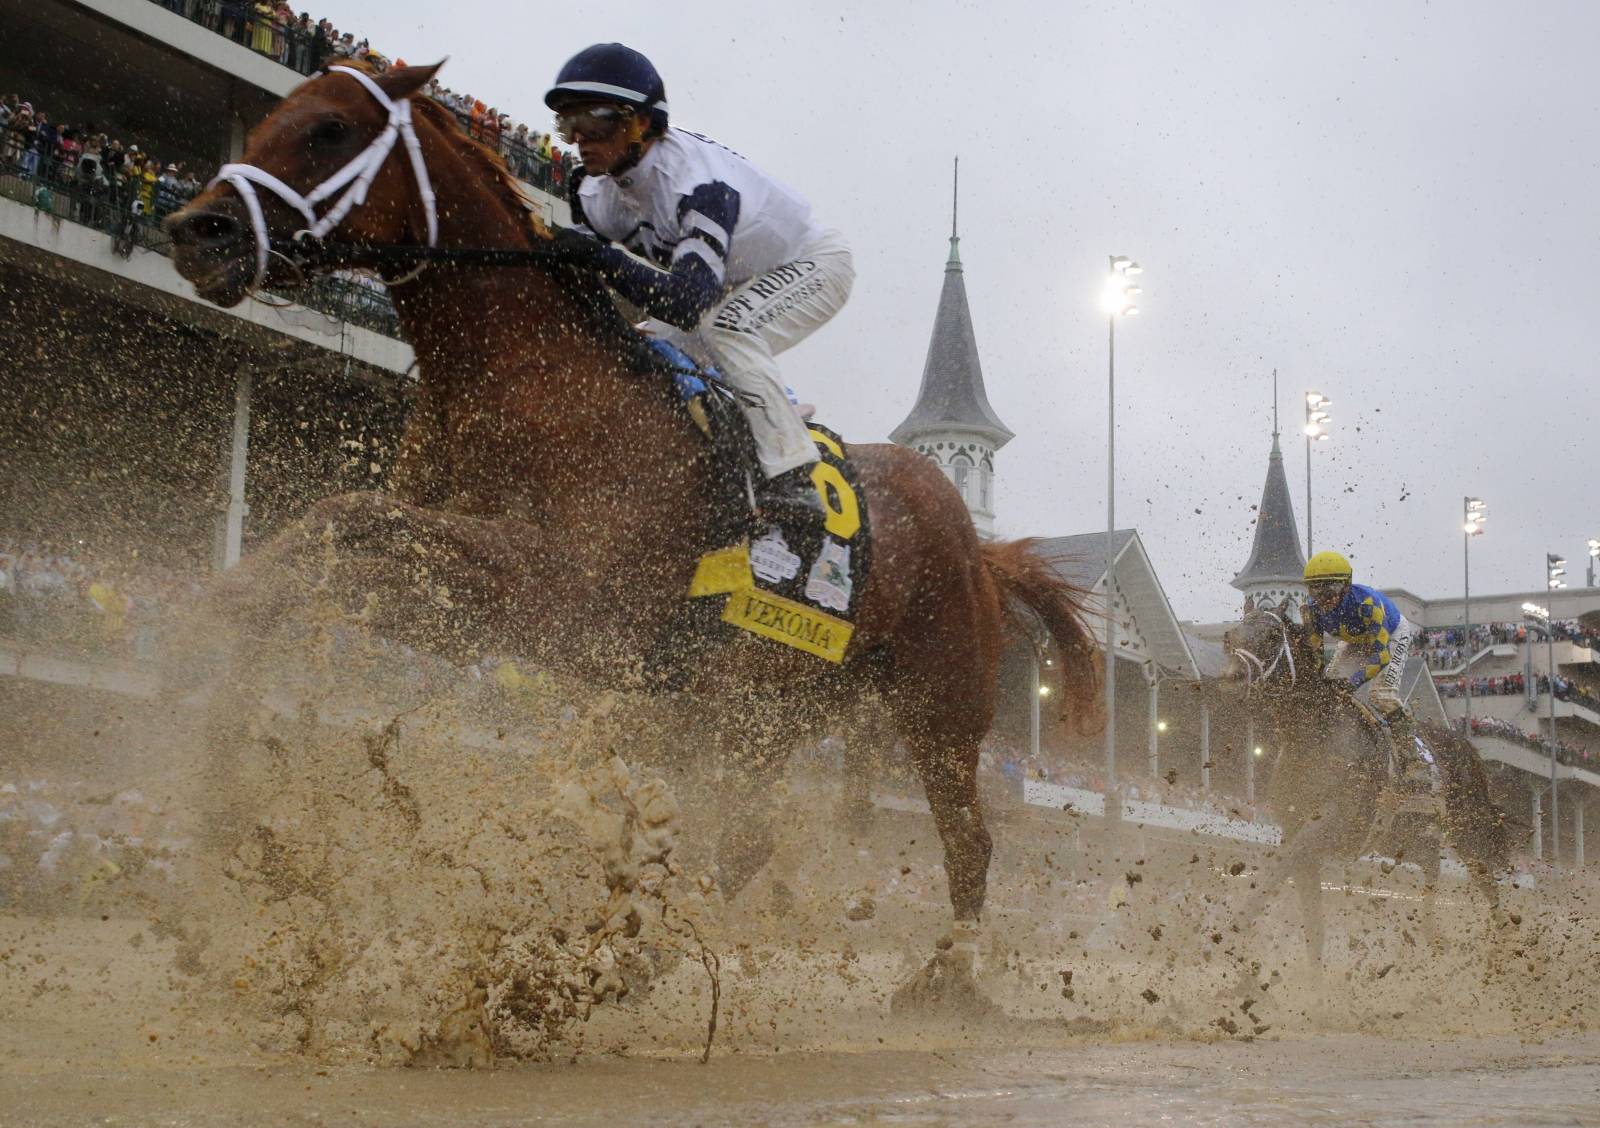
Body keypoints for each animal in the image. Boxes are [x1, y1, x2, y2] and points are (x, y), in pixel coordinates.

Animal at [165, 64, 1100, 992]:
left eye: (328, 128)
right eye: (269, 122)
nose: (196, 229)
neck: (528, 380)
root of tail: (979, 545)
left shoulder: (556, 595)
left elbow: (351, 528)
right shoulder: (472, 603)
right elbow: (325, 543)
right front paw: (221, 747)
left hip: (940, 708)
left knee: (967, 838)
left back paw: (950, 974)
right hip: (767, 705)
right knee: (748, 836)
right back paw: (643, 944)